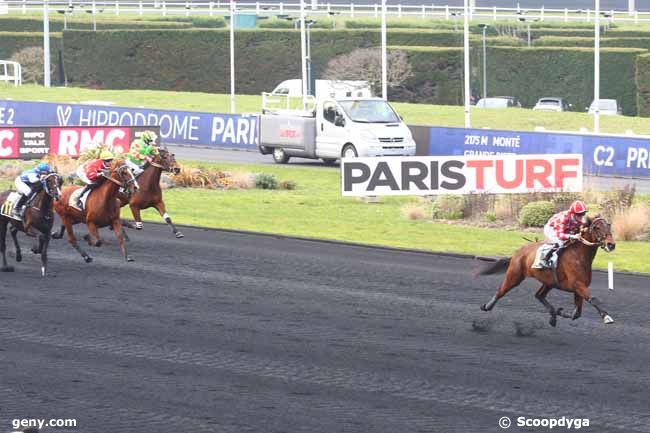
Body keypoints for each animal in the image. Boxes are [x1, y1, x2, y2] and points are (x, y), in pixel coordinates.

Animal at [474, 218, 616, 326]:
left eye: (609, 225)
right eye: (597, 227)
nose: (611, 244)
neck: (578, 255)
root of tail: (518, 252)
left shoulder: (580, 287)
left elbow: (577, 313)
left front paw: (559, 312)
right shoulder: (577, 284)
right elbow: (593, 299)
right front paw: (607, 317)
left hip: (549, 282)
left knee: (539, 295)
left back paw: (553, 315)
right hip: (514, 275)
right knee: (501, 290)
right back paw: (486, 306)